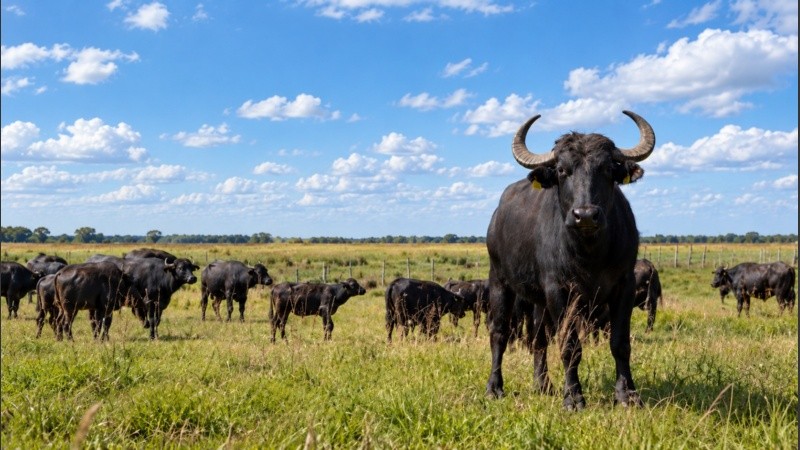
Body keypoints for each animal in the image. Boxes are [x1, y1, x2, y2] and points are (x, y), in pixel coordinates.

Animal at [485, 111, 655, 410]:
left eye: (607, 169)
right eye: (563, 170)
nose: (585, 215)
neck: (590, 253)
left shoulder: (624, 285)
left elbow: (620, 343)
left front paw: (627, 394)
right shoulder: (559, 290)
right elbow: (569, 345)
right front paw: (574, 397)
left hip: (538, 301)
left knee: (538, 338)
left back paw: (543, 384)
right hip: (499, 280)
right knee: (499, 332)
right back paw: (495, 387)